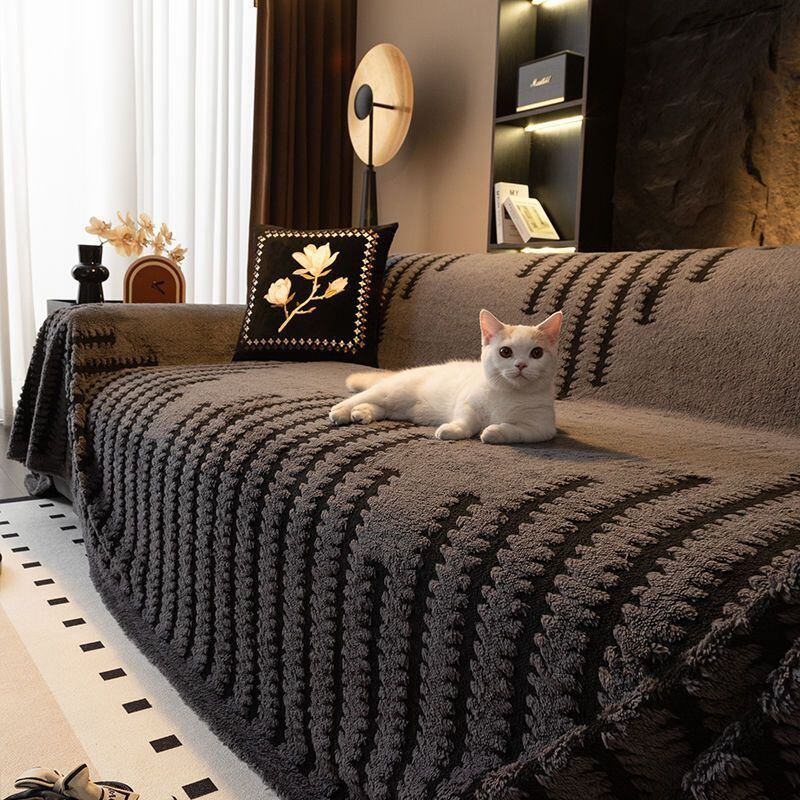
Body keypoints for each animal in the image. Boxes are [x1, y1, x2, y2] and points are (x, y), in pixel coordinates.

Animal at [329, 308, 563, 444]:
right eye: (505, 352)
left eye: (536, 353)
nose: (521, 365)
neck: (508, 393)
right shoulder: (466, 402)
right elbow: (466, 420)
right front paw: (453, 429)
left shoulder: (542, 428)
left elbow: (516, 431)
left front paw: (493, 432)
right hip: (391, 391)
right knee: (361, 397)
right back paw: (341, 411)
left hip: (399, 407)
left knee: (382, 408)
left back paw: (361, 413)